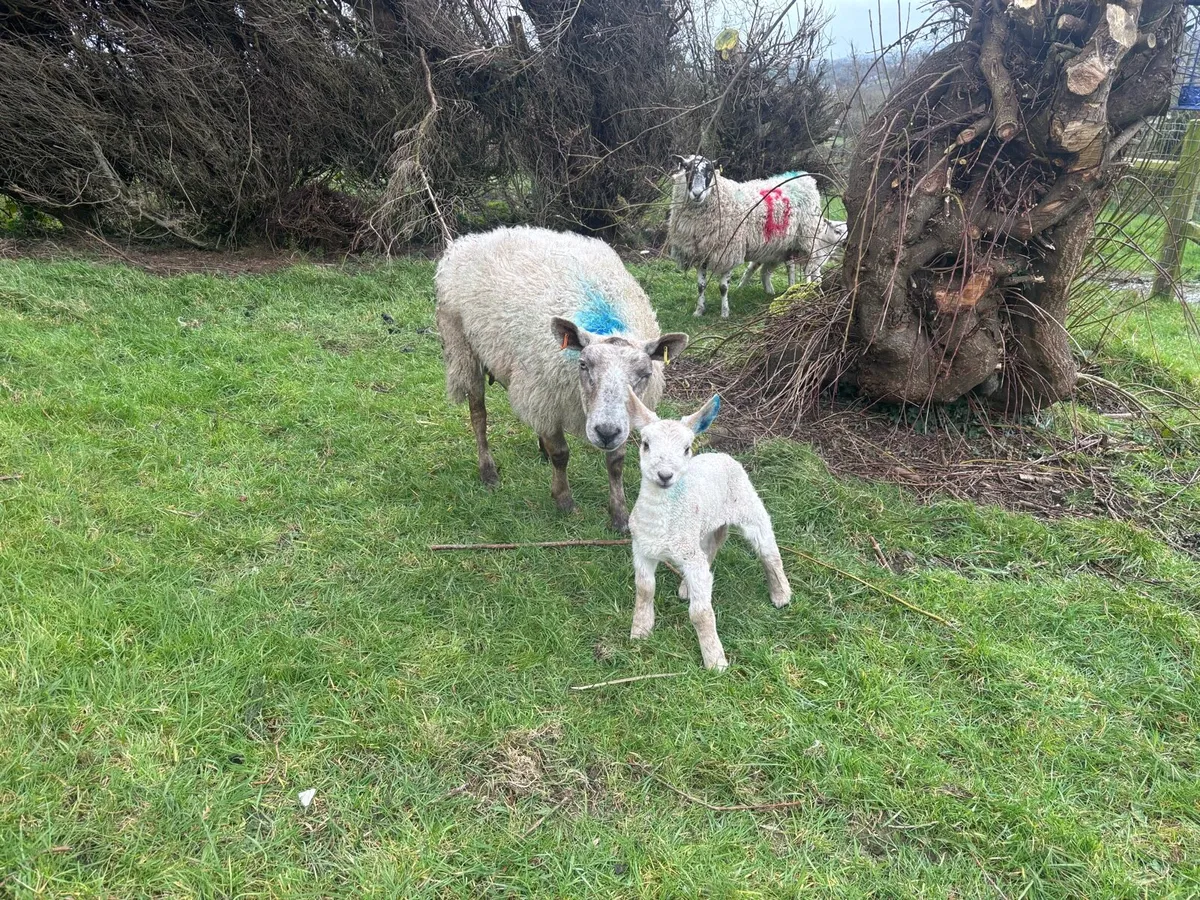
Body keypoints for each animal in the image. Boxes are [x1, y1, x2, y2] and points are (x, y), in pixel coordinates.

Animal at [435, 225, 690, 533]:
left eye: (645, 374)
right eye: (583, 365)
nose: (605, 432)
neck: (605, 324)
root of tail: (475, 238)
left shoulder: (620, 416)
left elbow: (616, 461)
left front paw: (619, 515)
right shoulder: (547, 399)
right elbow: (561, 454)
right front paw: (564, 500)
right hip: (463, 347)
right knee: (478, 415)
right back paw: (488, 471)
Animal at [625, 387, 791, 671]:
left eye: (686, 448)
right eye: (645, 444)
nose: (665, 475)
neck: (661, 524)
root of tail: (719, 455)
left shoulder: (688, 555)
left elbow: (701, 613)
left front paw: (715, 661)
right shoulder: (642, 548)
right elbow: (645, 590)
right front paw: (640, 631)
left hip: (749, 506)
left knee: (768, 550)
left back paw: (781, 594)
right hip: (702, 528)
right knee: (711, 547)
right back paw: (685, 588)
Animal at [666, 154, 824, 318]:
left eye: (710, 171)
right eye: (687, 169)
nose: (697, 193)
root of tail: (805, 177)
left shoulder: (729, 251)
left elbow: (723, 287)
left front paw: (724, 313)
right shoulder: (700, 252)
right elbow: (700, 286)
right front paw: (699, 310)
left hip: (808, 236)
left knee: (812, 267)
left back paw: (812, 287)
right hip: (785, 244)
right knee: (789, 266)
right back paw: (788, 289)